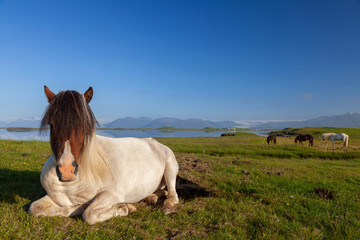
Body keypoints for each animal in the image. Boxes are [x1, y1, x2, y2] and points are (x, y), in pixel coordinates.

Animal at [28, 86, 179, 225]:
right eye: (51, 123)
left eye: (83, 124)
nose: (66, 171)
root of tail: (154, 142)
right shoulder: (55, 197)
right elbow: (34, 208)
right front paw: (80, 206)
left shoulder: (111, 194)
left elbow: (89, 214)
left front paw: (124, 208)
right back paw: (151, 197)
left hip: (170, 169)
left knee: (173, 196)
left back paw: (167, 207)